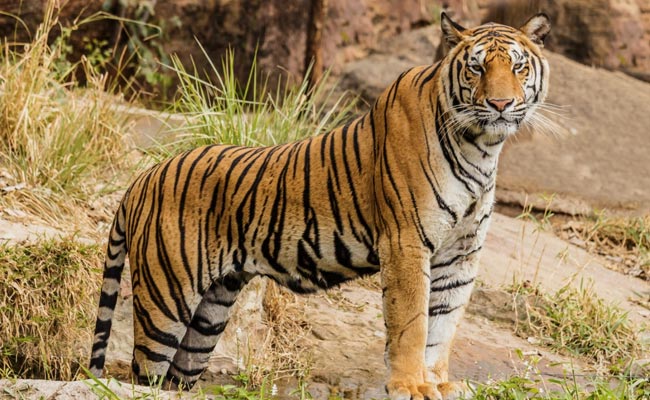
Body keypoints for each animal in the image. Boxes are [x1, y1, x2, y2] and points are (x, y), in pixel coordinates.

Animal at [89, 12, 550, 400]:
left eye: (518, 67)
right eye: (477, 68)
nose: (500, 105)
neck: (482, 146)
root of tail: (142, 178)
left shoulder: (461, 254)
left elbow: (443, 325)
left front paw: (437, 383)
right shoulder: (406, 243)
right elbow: (412, 323)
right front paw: (410, 385)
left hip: (210, 313)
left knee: (175, 378)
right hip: (165, 300)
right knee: (142, 373)